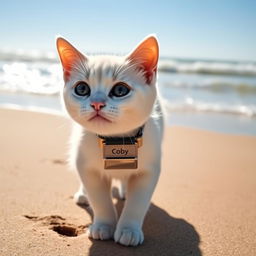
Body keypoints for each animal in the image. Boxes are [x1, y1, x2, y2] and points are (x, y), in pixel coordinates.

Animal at [56, 35, 164, 247]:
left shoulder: (148, 171)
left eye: (120, 89)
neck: (116, 140)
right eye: (82, 88)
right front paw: (104, 226)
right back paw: (83, 195)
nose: (96, 103)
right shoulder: (87, 168)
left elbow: (137, 204)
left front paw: (129, 229)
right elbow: (100, 201)